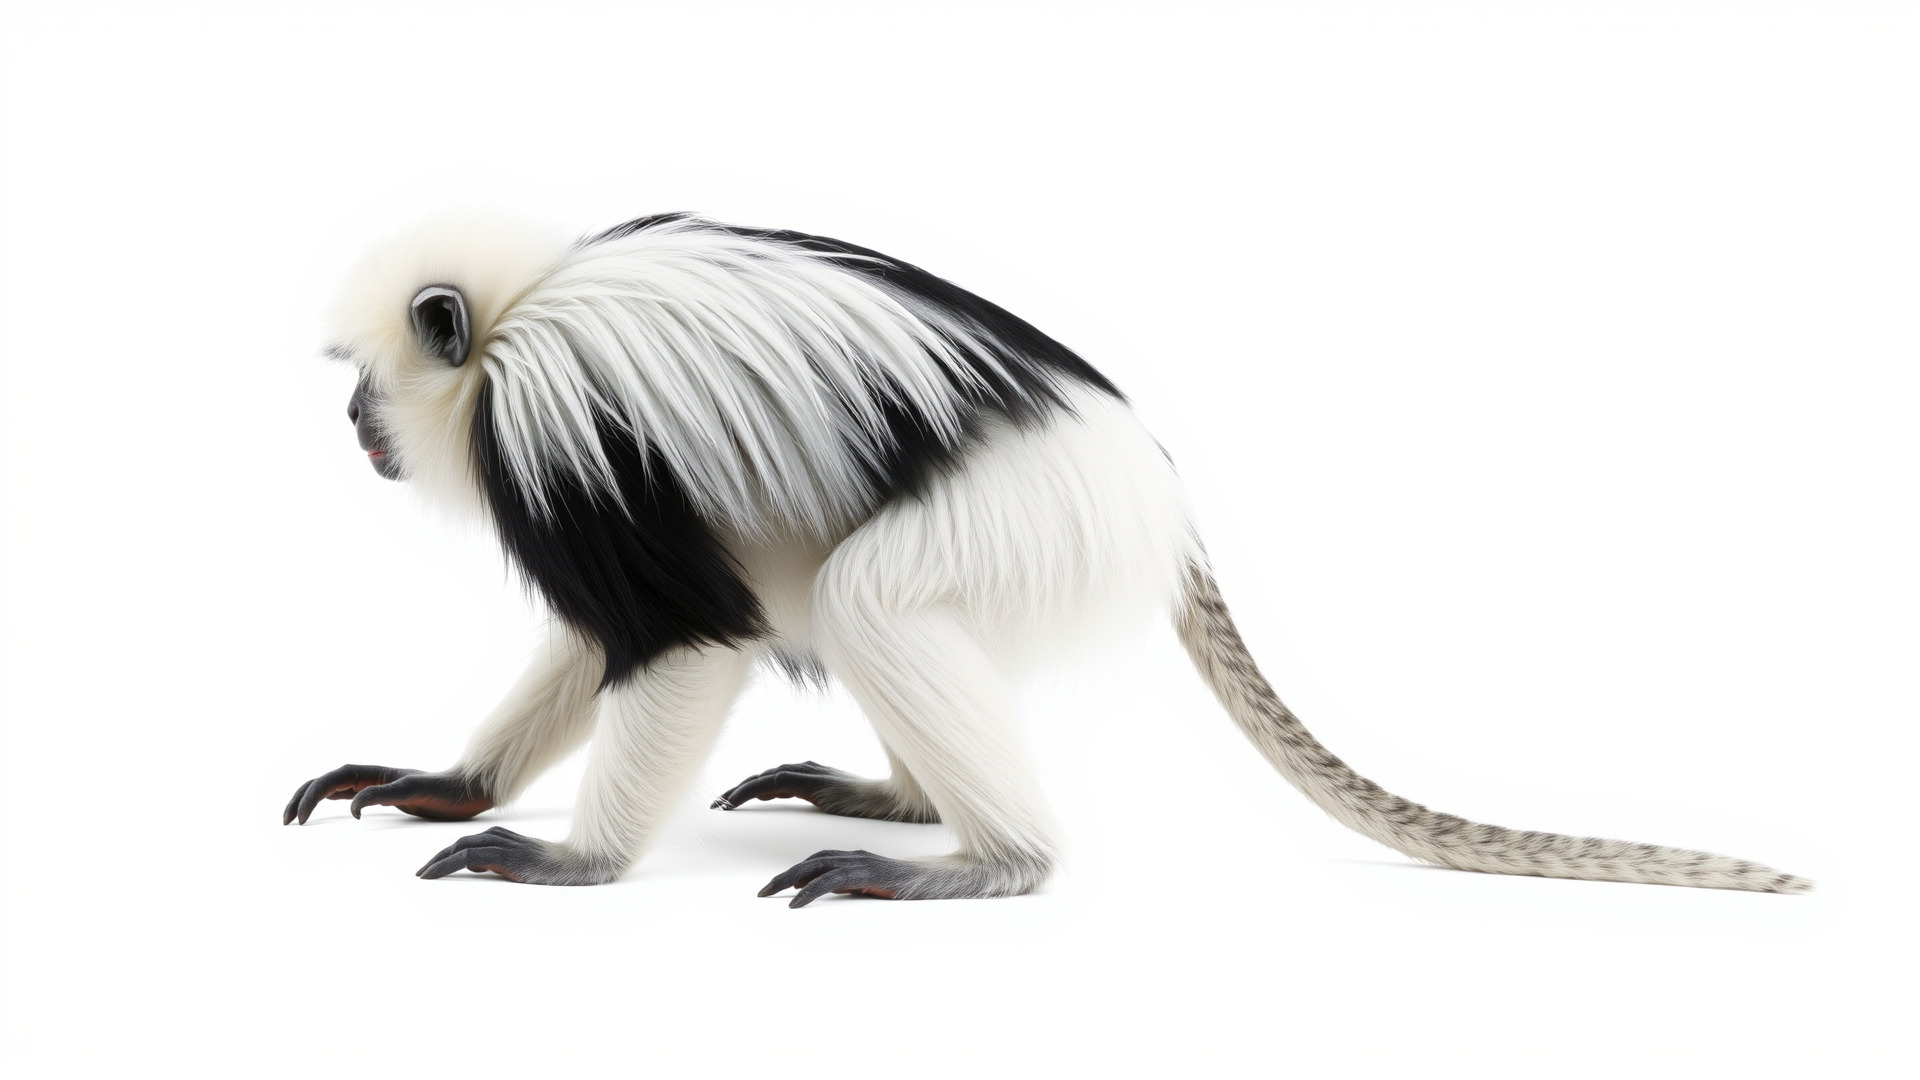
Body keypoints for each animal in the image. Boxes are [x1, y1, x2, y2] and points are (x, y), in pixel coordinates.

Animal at [285, 210, 1810, 905]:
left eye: (366, 386)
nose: (353, 423)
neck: (516, 318)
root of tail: (1153, 482)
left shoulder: (553, 430)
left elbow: (683, 636)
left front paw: (570, 861)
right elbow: (625, 633)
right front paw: (451, 782)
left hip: (1035, 514)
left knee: (864, 599)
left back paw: (988, 863)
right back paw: (905, 802)